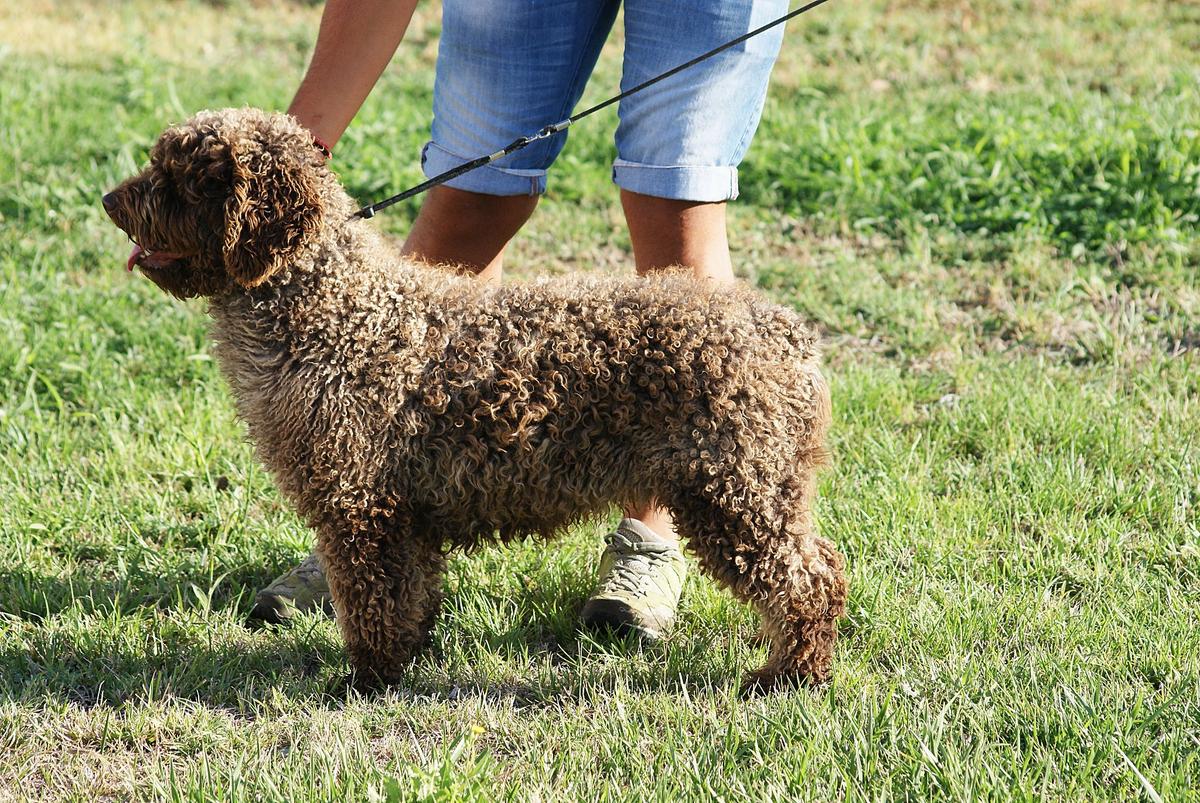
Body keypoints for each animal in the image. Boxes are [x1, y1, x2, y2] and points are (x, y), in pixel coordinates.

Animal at [105, 106, 854, 691]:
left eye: (181, 179)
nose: (112, 201)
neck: (333, 311)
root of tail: (784, 332)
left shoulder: (361, 505)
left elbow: (374, 601)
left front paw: (365, 679)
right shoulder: (402, 509)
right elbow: (410, 595)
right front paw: (404, 661)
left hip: (735, 489)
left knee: (813, 580)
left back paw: (790, 675)